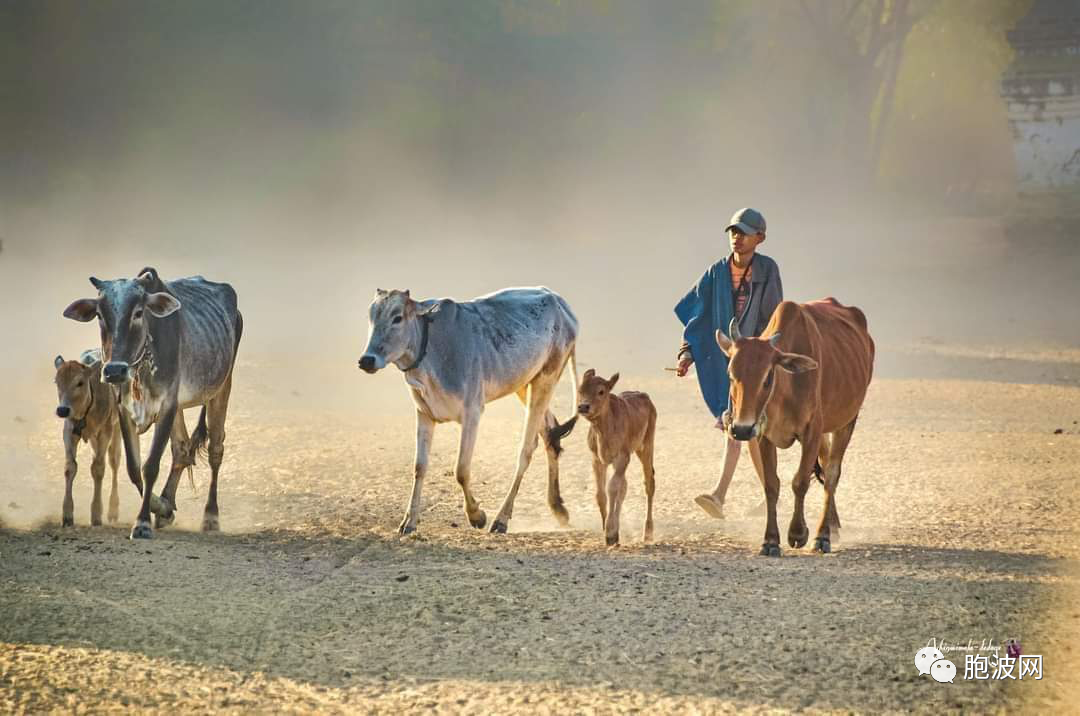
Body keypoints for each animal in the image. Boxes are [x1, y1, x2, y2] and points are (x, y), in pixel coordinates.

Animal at [52, 352, 121, 527]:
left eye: (80, 382)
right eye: (57, 381)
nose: (62, 410)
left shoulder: (105, 431)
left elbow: (98, 468)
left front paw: (96, 514)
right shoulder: (69, 431)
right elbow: (70, 467)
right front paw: (67, 515)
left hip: (116, 428)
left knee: (114, 461)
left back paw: (113, 511)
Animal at [62, 267, 244, 537]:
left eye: (138, 312)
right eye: (100, 315)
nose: (114, 371)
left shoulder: (167, 405)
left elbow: (150, 466)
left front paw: (142, 523)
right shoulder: (125, 409)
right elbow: (134, 468)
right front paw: (162, 507)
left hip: (221, 388)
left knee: (215, 450)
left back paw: (211, 516)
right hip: (181, 406)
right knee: (182, 450)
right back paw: (167, 504)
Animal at [360, 285, 583, 531]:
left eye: (397, 317)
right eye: (371, 317)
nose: (366, 360)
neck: (431, 348)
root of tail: (558, 300)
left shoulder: (472, 413)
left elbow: (461, 470)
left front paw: (477, 515)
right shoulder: (424, 413)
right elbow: (419, 467)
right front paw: (409, 521)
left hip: (546, 379)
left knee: (526, 449)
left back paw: (501, 519)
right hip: (525, 384)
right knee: (550, 434)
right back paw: (558, 508)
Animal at [574, 369, 656, 544]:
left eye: (601, 391)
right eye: (580, 390)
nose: (583, 406)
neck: (603, 430)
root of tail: (644, 395)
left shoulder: (622, 457)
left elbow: (612, 488)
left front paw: (610, 532)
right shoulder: (597, 459)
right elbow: (601, 493)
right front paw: (608, 529)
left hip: (646, 446)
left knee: (649, 483)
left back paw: (648, 532)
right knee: (624, 487)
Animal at [712, 295, 872, 552]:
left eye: (768, 377)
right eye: (730, 374)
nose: (742, 429)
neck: (785, 392)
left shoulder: (812, 432)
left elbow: (800, 481)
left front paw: (798, 532)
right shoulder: (763, 435)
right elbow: (771, 484)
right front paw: (770, 540)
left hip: (847, 421)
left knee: (832, 473)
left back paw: (823, 534)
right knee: (825, 467)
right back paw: (833, 524)